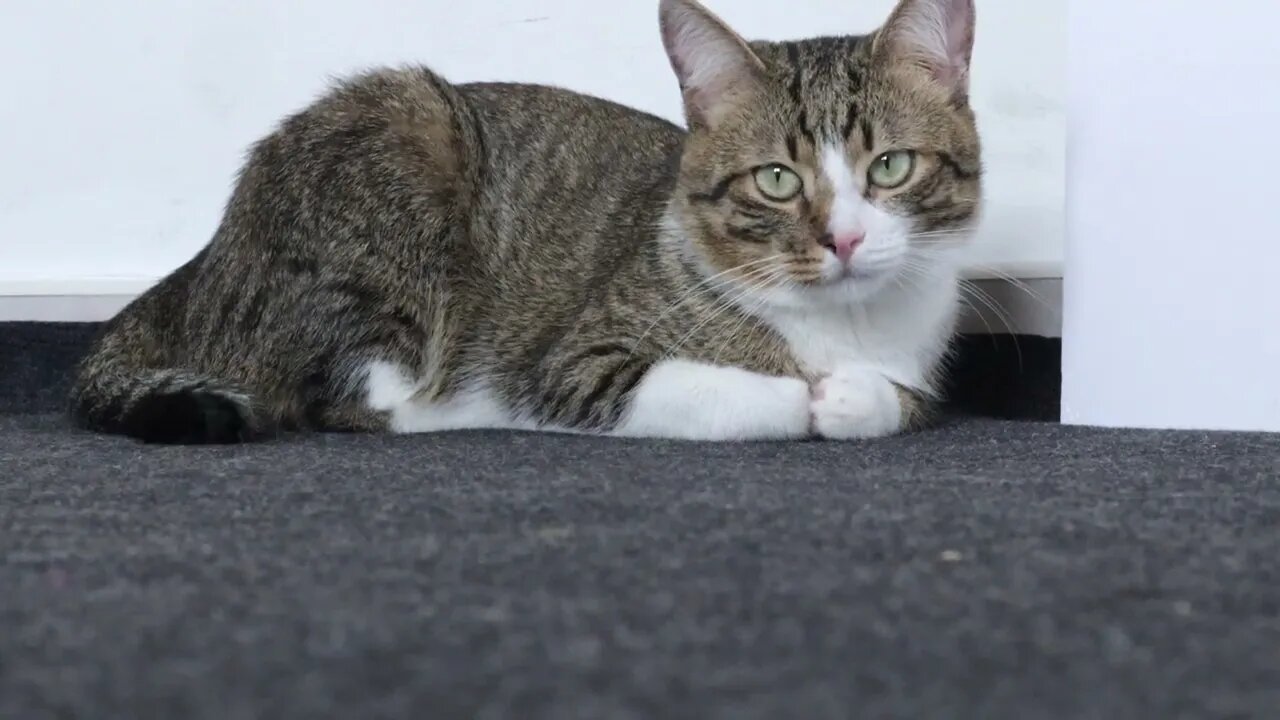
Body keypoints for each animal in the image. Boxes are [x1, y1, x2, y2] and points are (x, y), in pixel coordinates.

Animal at [70, 0, 983, 443]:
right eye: (777, 180)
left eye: (890, 167)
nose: (845, 238)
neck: (844, 328)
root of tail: (204, 264)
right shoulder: (578, 358)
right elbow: (707, 390)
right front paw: (802, 396)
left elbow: (904, 399)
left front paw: (860, 398)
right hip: (402, 139)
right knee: (344, 396)